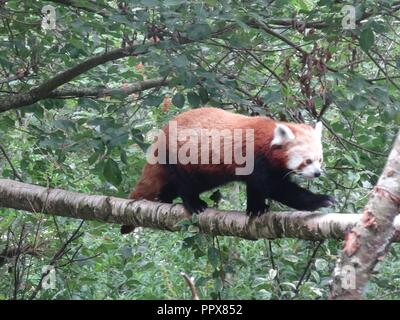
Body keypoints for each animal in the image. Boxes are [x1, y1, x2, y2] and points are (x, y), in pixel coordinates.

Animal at [121, 107, 334, 232]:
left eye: (320, 160)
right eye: (307, 161)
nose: (317, 173)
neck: (268, 140)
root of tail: (163, 133)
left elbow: (257, 188)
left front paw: (256, 209)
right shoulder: (255, 158)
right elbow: (277, 188)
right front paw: (321, 200)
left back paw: (164, 197)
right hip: (183, 156)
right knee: (186, 183)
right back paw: (193, 203)